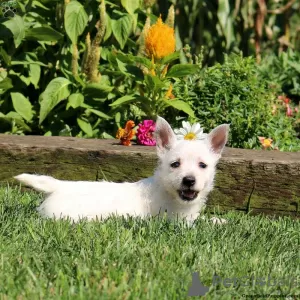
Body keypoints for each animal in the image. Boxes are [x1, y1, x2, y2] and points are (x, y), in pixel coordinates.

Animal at [14, 116, 229, 224]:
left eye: (202, 165)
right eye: (175, 164)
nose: (189, 180)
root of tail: (59, 186)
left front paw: (219, 219)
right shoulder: (174, 220)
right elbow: (198, 223)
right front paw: (216, 222)